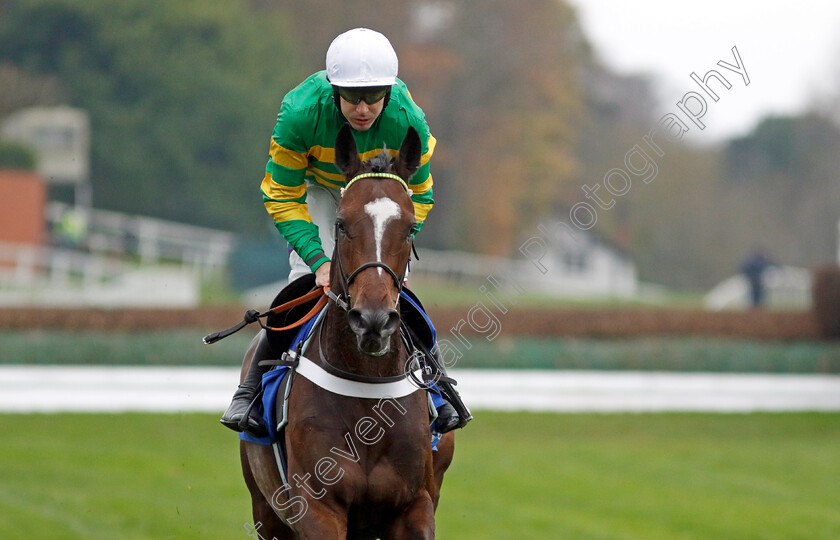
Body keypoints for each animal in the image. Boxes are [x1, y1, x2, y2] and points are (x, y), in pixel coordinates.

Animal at [240, 124, 456, 536]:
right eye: (341, 224)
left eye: (410, 228)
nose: (373, 320)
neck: (367, 385)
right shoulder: (316, 507)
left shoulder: (416, 505)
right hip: (265, 508)